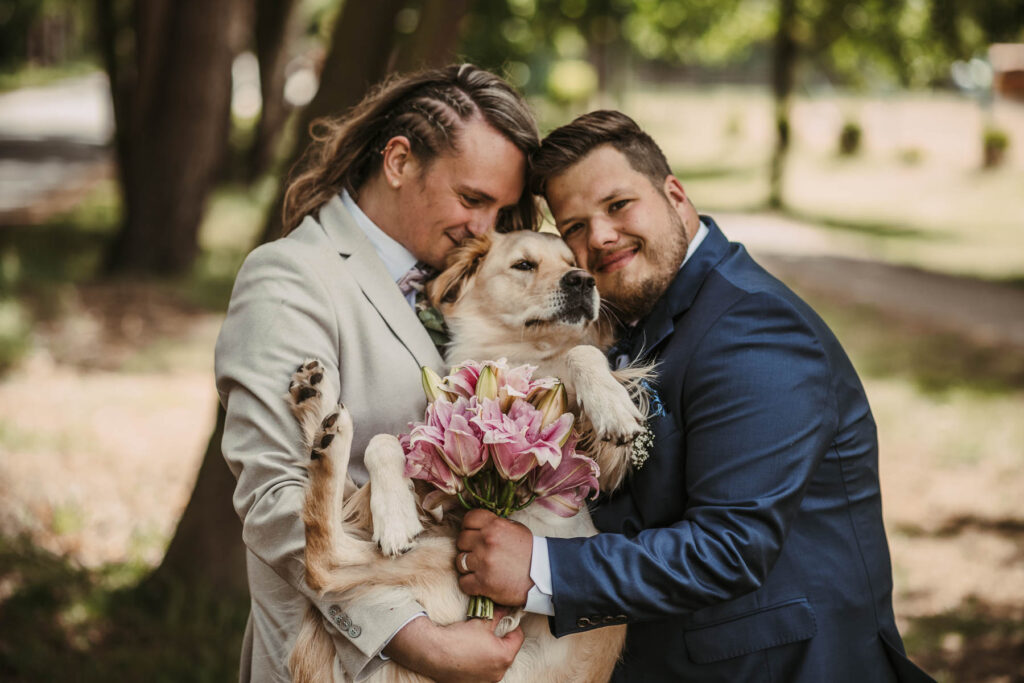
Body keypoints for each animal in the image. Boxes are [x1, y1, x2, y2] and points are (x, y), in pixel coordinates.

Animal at [286, 231, 647, 683]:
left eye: (573, 262)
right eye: (524, 265)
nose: (583, 280)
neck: (520, 352)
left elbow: (581, 354)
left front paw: (611, 404)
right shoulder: (440, 467)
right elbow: (383, 440)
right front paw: (395, 514)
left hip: (448, 557)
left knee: (324, 561)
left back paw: (323, 422)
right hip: (442, 550)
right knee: (322, 560)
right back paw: (321, 413)